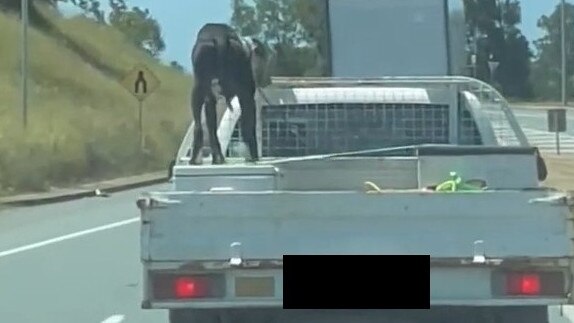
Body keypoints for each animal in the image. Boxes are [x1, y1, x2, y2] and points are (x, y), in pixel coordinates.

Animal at [189, 23, 274, 166]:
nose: (268, 79)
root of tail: (220, 36)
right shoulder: (247, 95)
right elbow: (248, 124)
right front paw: (253, 155)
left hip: (200, 82)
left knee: (202, 124)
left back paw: (205, 157)